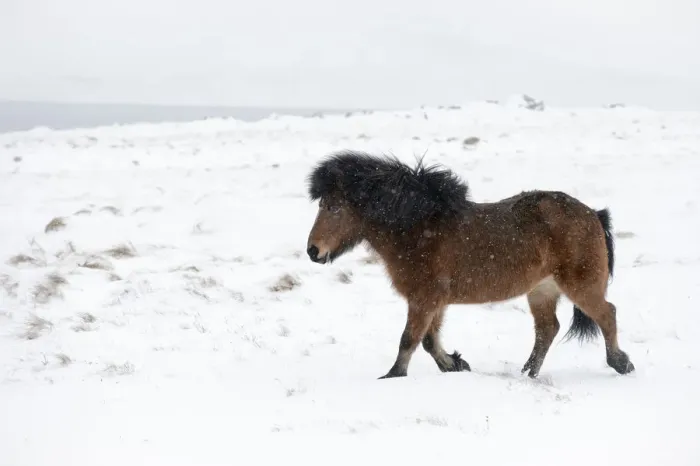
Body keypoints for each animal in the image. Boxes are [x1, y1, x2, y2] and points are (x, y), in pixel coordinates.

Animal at [304, 150, 635, 380]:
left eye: (333, 207)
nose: (312, 251)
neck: (418, 228)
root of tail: (593, 213)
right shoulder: (433, 301)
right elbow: (429, 341)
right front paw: (456, 364)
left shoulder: (424, 299)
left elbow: (409, 340)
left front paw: (393, 376)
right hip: (542, 290)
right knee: (547, 329)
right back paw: (527, 374)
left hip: (580, 285)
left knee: (607, 314)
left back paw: (621, 363)